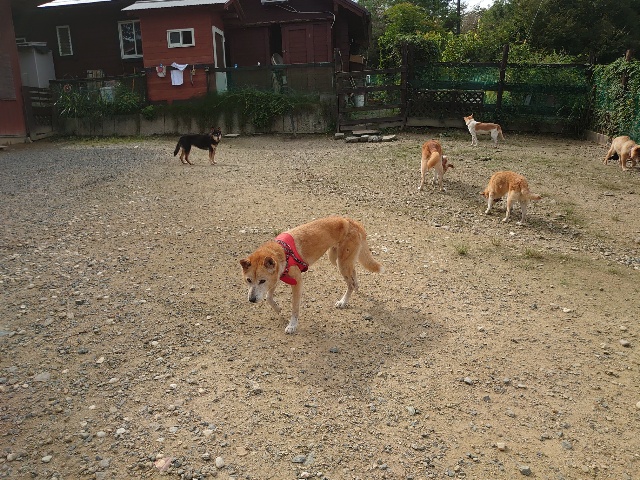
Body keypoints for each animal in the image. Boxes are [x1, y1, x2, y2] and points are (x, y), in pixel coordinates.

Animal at [239, 216, 383, 334]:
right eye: (248, 280)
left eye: (262, 281)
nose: (251, 300)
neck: (282, 251)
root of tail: (353, 222)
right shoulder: (276, 277)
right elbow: (268, 297)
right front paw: (278, 309)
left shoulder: (296, 282)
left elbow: (294, 307)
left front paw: (292, 325)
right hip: (336, 259)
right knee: (353, 273)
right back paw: (356, 286)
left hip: (341, 263)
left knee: (350, 284)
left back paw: (343, 302)